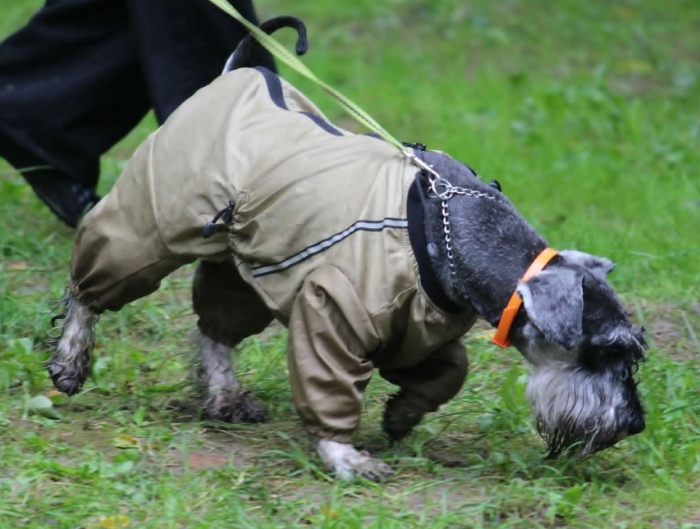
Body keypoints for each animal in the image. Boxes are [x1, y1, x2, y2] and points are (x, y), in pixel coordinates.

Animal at [43, 17, 644, 478]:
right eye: (606, 351)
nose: (636, 421)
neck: (453, 233)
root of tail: (239, 72)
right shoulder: (333, 312)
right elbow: (330, 388)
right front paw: (345, 456)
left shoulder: (412, 332)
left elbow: (450, 372)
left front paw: (401, 417)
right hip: (153, 227)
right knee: (90, 286)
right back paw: (71, 361)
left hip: (244, 268)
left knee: (216, 329)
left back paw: (225, 396)